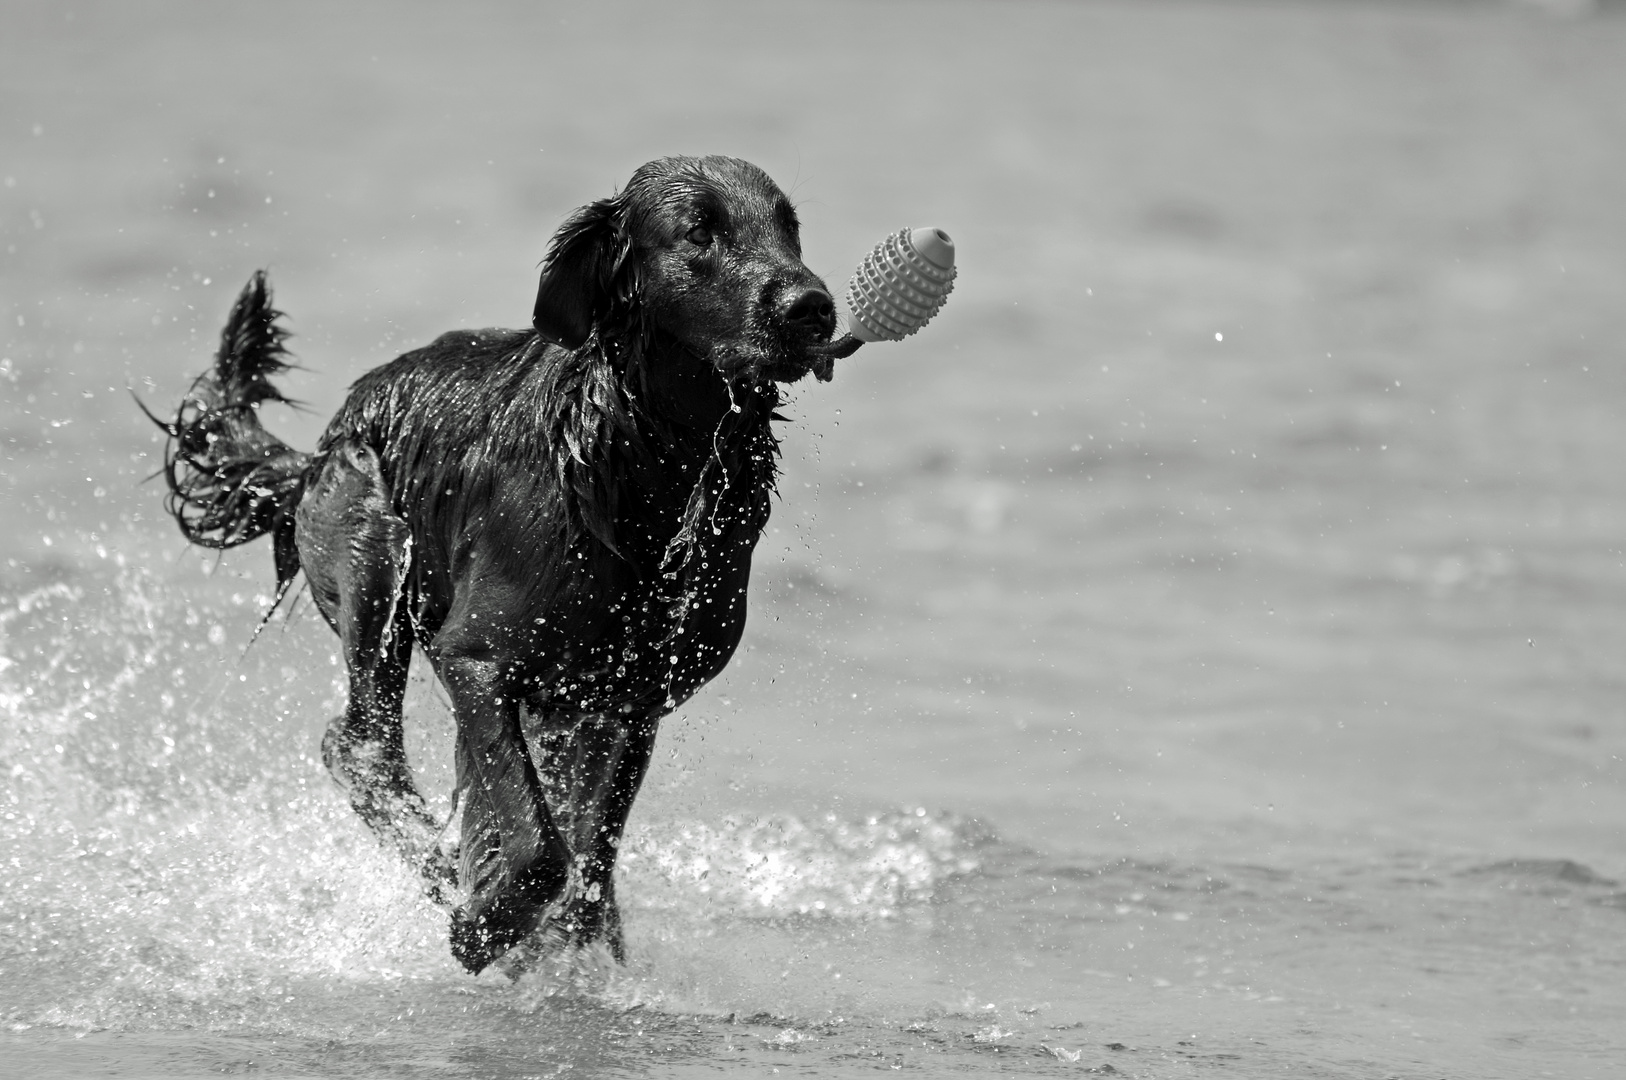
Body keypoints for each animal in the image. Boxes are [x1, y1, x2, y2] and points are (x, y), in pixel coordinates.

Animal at [149, 156, 865, 975]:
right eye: (698, 231)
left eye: (789, 227)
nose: (813, 309)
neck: (642, 465)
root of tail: (322, 444)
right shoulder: (475, 658)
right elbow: (540, 844)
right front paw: (483, 929)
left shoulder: (631, 698)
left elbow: (589, 854)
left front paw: (565, 949)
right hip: (374, 560)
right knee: (361, 751)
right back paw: (450, 887)